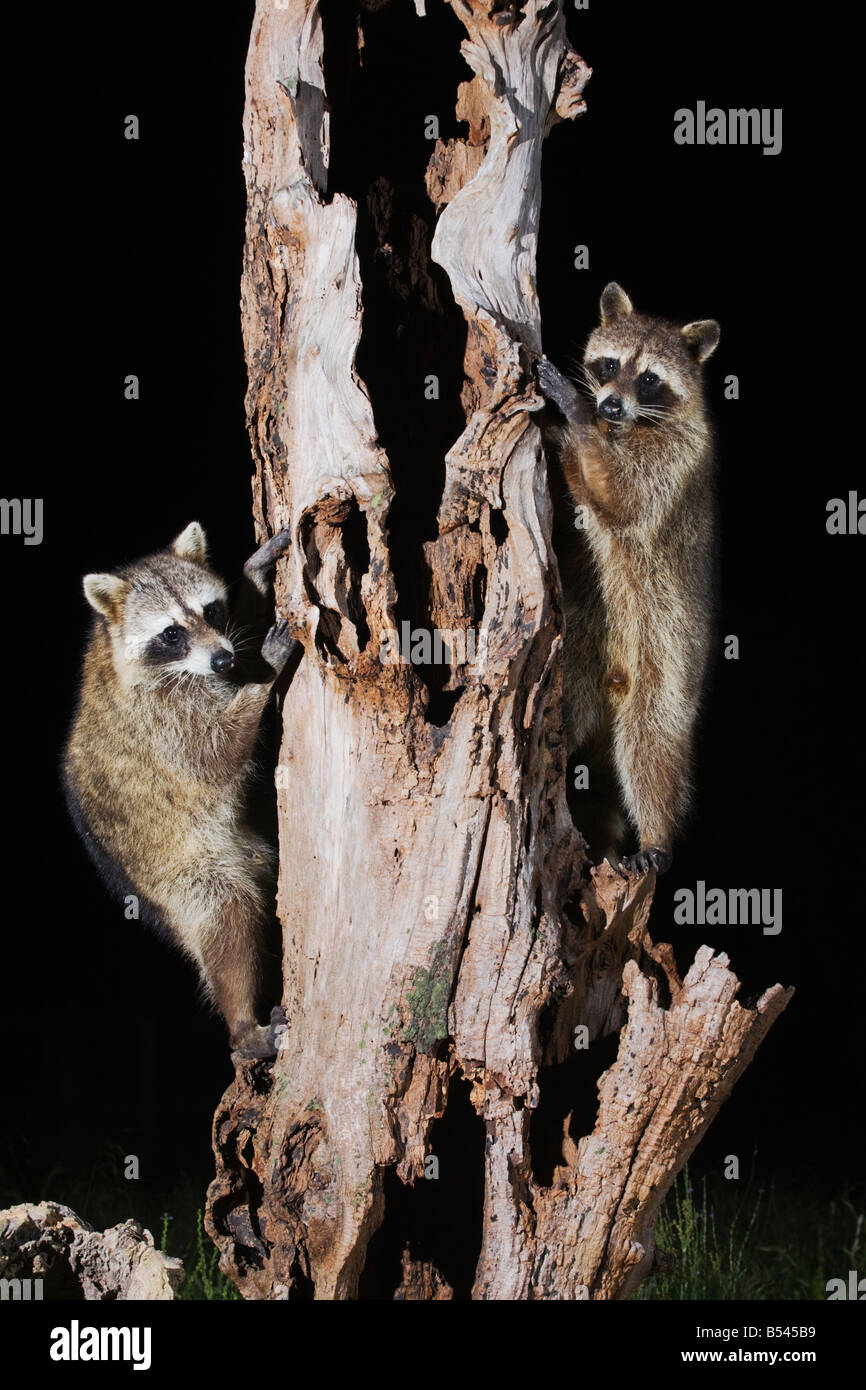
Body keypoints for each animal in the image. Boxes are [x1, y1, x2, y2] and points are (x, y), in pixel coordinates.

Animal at [62, 522, 296, 1057]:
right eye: (172, 633)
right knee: (225, 915)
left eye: (210, 611)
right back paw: (243, 1027)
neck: (107, 642)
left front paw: (253, 578)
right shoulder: (159, 720)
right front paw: (263, 673)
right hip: (181, 879)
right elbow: (213, 757)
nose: (222, 658)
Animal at [537, 282, 720, 875]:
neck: (627, 423)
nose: (609, 404)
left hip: (668, 660)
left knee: (652, 743)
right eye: (611, 364)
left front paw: (572, 410)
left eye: (650, 378)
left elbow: (623, 493)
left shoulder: (676, 458)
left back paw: (656, 834)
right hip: (580, 650)